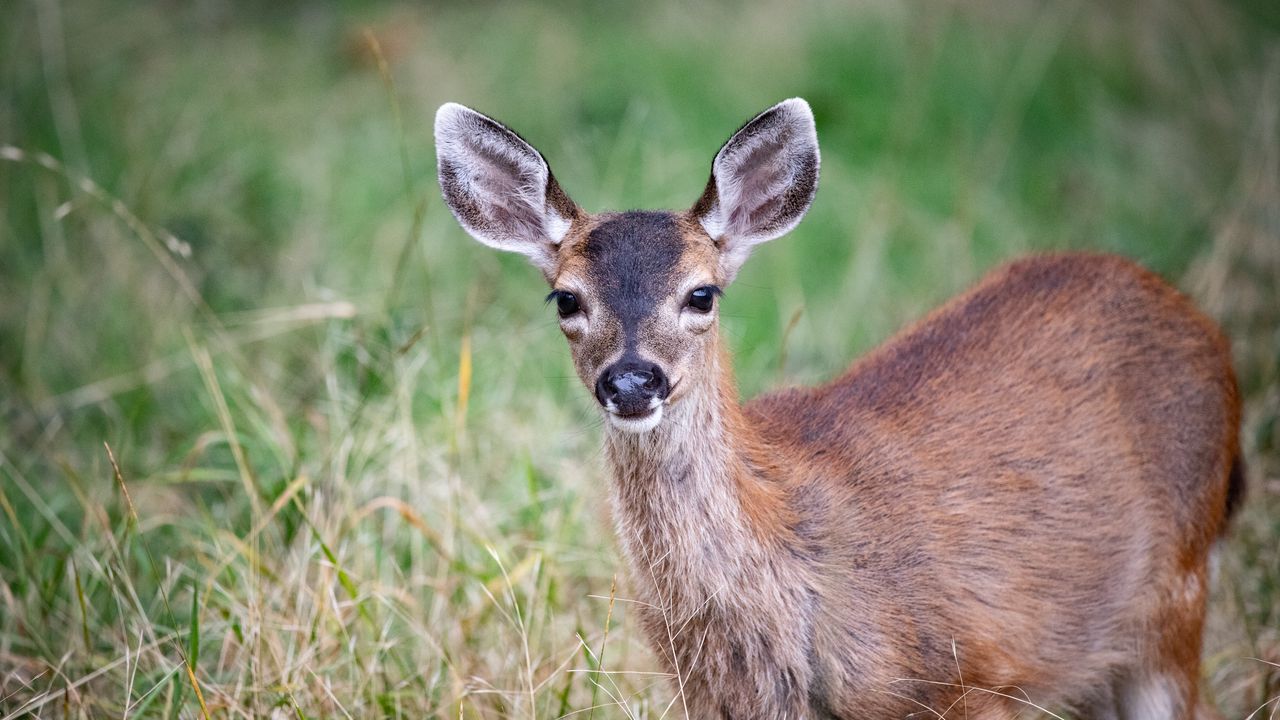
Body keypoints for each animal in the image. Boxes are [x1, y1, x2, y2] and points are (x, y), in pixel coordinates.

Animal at [434, 98, 1243, 719]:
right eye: (566, 299)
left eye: (702, 293)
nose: (632, 382)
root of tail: (1196, 321)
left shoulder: (974, 676)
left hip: (1175, 593)